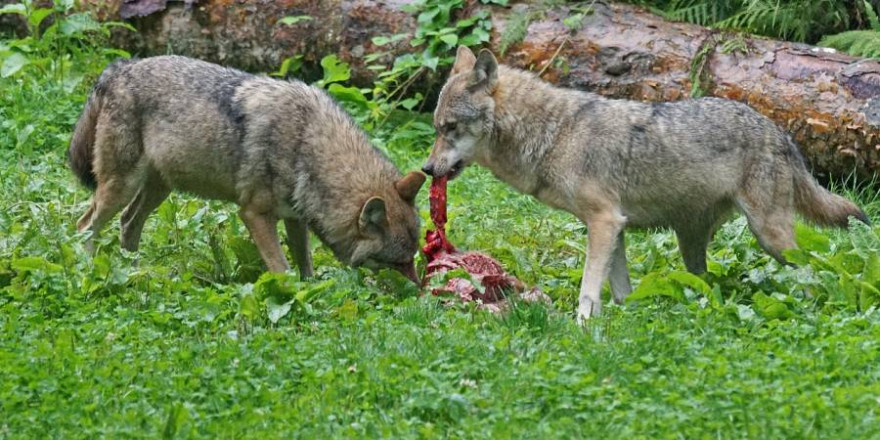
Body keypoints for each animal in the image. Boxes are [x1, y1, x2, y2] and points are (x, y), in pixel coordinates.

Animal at [69, 55, 426, 282]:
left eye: (412, 258)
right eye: (398, 262)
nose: (418, 290)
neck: (306, 142)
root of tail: (119, 68)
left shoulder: (296, 218)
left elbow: (305, 264)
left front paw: (312, 291)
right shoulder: (254, 214)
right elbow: (281, 269)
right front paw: (290, 296)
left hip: (158, 190)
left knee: (128, 223)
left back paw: (133, 269)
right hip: (120, 187)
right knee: (85, 225)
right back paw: (89, 268)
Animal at [422, 47, 868, 324]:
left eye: (450, 128)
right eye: (436, 128)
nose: (426, 168)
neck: (555, 134)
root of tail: (779, 131)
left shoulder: (604, 222)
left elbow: (588, 289)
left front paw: (581, 327)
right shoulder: (613, 227)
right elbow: (620, 290)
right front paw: (624, 317)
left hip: (769, 236)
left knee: (814, 271)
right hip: (693, 243)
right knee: (704, 280)